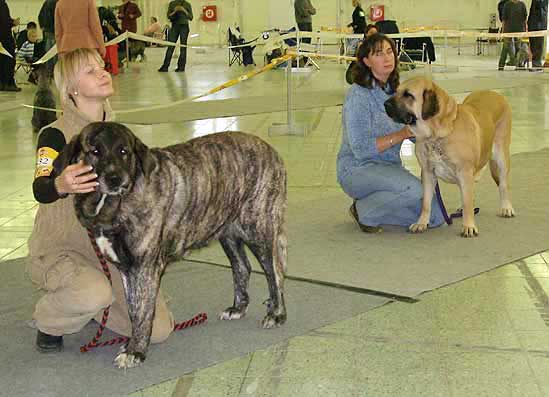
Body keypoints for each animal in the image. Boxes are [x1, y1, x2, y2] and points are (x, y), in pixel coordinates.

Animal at [53, 121, 288, 368]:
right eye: (95, 151)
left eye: (124, 151)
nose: (115, 178)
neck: (114, 203)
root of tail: (271, 150)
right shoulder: (127, 269)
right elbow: (133, 310)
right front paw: (132, 344)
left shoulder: (145, 267)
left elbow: (143, 311)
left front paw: (136, 351)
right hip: (228, 232)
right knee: (243, 266)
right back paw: (238, 308)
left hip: (259, 229)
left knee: (275, 272)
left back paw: (277, 313)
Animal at [386, 77, 512, 238]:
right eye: (396, 91)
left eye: (408, 95)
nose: (385, 104)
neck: (437, 135)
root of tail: (496, 94)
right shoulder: (427, 173)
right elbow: (426, 203)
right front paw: (421, 223)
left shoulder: (464, 171)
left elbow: (468, 201)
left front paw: (469, 226)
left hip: (501, 155)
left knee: (503, 185)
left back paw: (506, 208)